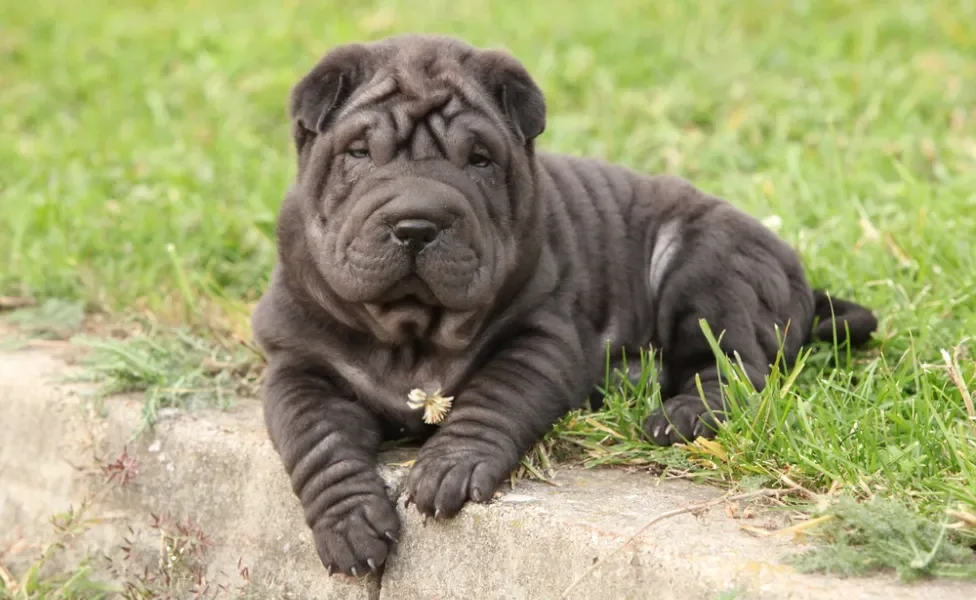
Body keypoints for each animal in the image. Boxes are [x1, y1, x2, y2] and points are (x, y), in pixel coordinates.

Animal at [252, 34, 876, 576]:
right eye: (359, 152)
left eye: (479, 160)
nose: (416, 223)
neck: (412, 328)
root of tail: (794, 272)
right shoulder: (299, 365)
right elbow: (318, 442)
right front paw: (350, 525)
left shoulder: (539, 337)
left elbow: (494, 397)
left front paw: (451, 464)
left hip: (709, 271)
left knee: (736, 364)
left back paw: (682, 414)